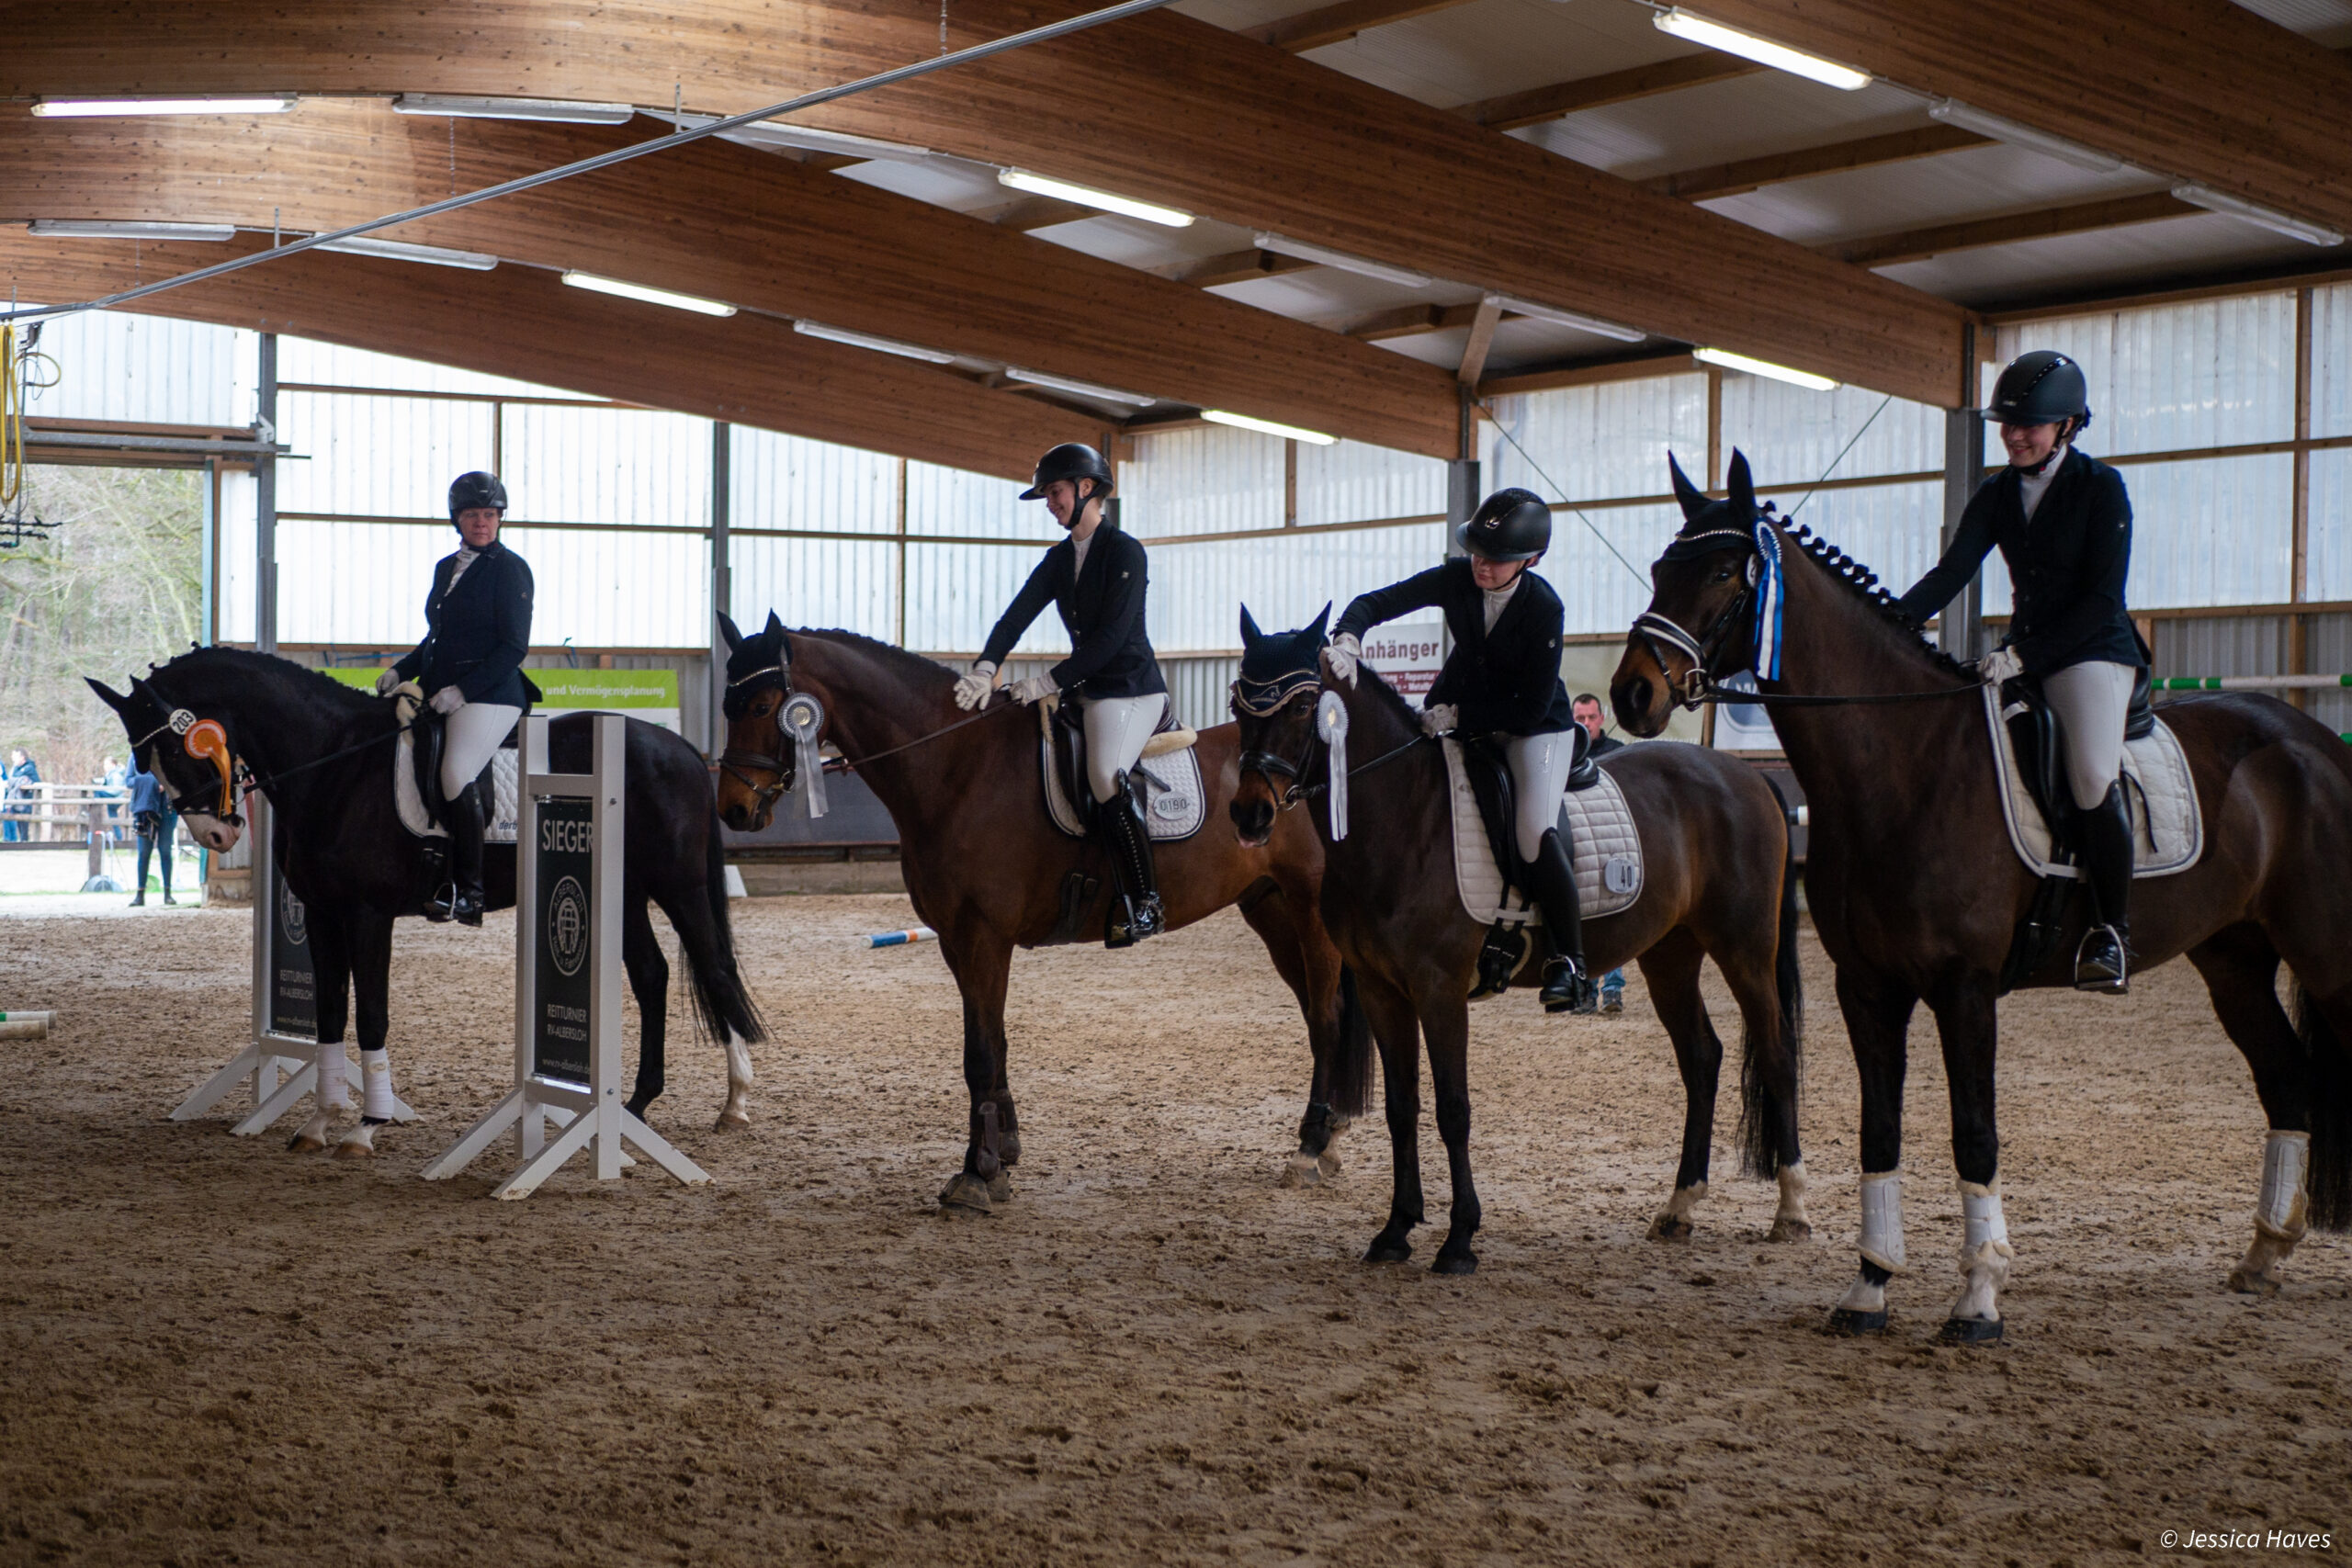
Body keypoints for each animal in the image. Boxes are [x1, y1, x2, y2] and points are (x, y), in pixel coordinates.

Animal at [88, 647, 766, 1154]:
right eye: (144, 759)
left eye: (175, 750)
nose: (216, 836)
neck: (333, 762)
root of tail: (681, 750)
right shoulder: (323, 914)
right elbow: (330, 1015)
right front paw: (320, 1121)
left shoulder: (367, 915)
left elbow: (371, 1015)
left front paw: (366, 1126)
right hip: (622, 895)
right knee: (652, 975)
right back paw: (639, 1103)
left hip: (677, 886)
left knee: (715, 967)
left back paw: (735, 1101)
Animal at [710, 613, 1373, 1211]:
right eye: (728, 704)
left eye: (765, 704)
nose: (735, 810)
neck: (956, 765)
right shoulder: (955, 938)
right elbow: (993, 1042)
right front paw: (1003, 1154)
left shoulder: (983, 934)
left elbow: (979, 1051)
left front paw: (975, 1175)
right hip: (1271, 910)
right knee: (1319, 1015)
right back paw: (1332, 1135)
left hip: (1310, 912)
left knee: (1327, 1016)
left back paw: (1310, 1148)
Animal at [1227, 609, 1807, 1276]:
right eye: (1238, 705)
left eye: (1302, 707)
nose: (1249, 814)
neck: (1402, 816)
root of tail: (1748, 775)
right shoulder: (1381, 990)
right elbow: (1402, 1108)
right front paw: (1396, 1229)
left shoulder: (1439, 989)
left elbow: (1453, 1109)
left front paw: (1459, 1238)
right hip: (1671, 953)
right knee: (1702, 1058)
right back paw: (1680, 1207)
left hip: (1745, 948)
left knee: (1777, 1052)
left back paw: (1791, 1209)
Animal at [1611, 450, 2352, 1340]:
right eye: (1660, 568)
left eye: (1724, 570)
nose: (1631, 696)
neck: (1903, 764)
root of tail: (2316, 743)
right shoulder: (1867, 986)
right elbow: (1880, 1129)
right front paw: (1869, 1287)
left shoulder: (1965, 988)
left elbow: (1974, 1131)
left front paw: (1978, 1297)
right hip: (2234, 959)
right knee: (2285, 1079)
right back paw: (2263, 1255)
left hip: (2327, 956)